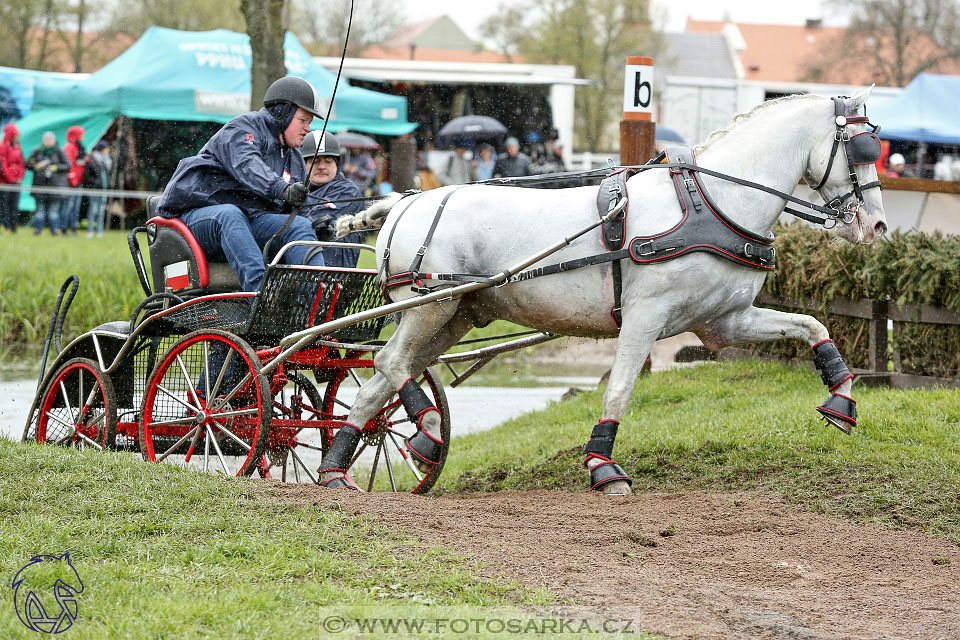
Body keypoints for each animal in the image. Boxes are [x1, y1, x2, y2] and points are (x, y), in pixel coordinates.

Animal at [320, 87, 884, 492]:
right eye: (861, 149)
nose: (876, 226)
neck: (710, 202)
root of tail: (403, 201)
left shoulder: (723, 323)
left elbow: (812, 325)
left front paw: (841, 396)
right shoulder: (645, 316)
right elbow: (620, 388)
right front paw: (602, 465)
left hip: (455, 312)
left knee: (384, 379)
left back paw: (344, 466)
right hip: (428, 308)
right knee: (390, 363)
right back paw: (424, 432)